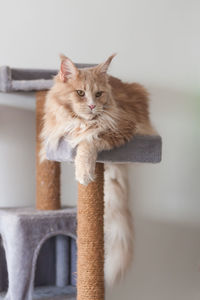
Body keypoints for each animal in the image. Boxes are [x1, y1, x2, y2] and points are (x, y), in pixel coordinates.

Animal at [39, 54, 154, 286]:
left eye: (99, 94)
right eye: (80, 93)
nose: (92, 106)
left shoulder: (121, 127)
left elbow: (90, 140)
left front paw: (84, 172)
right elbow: (73, 134)